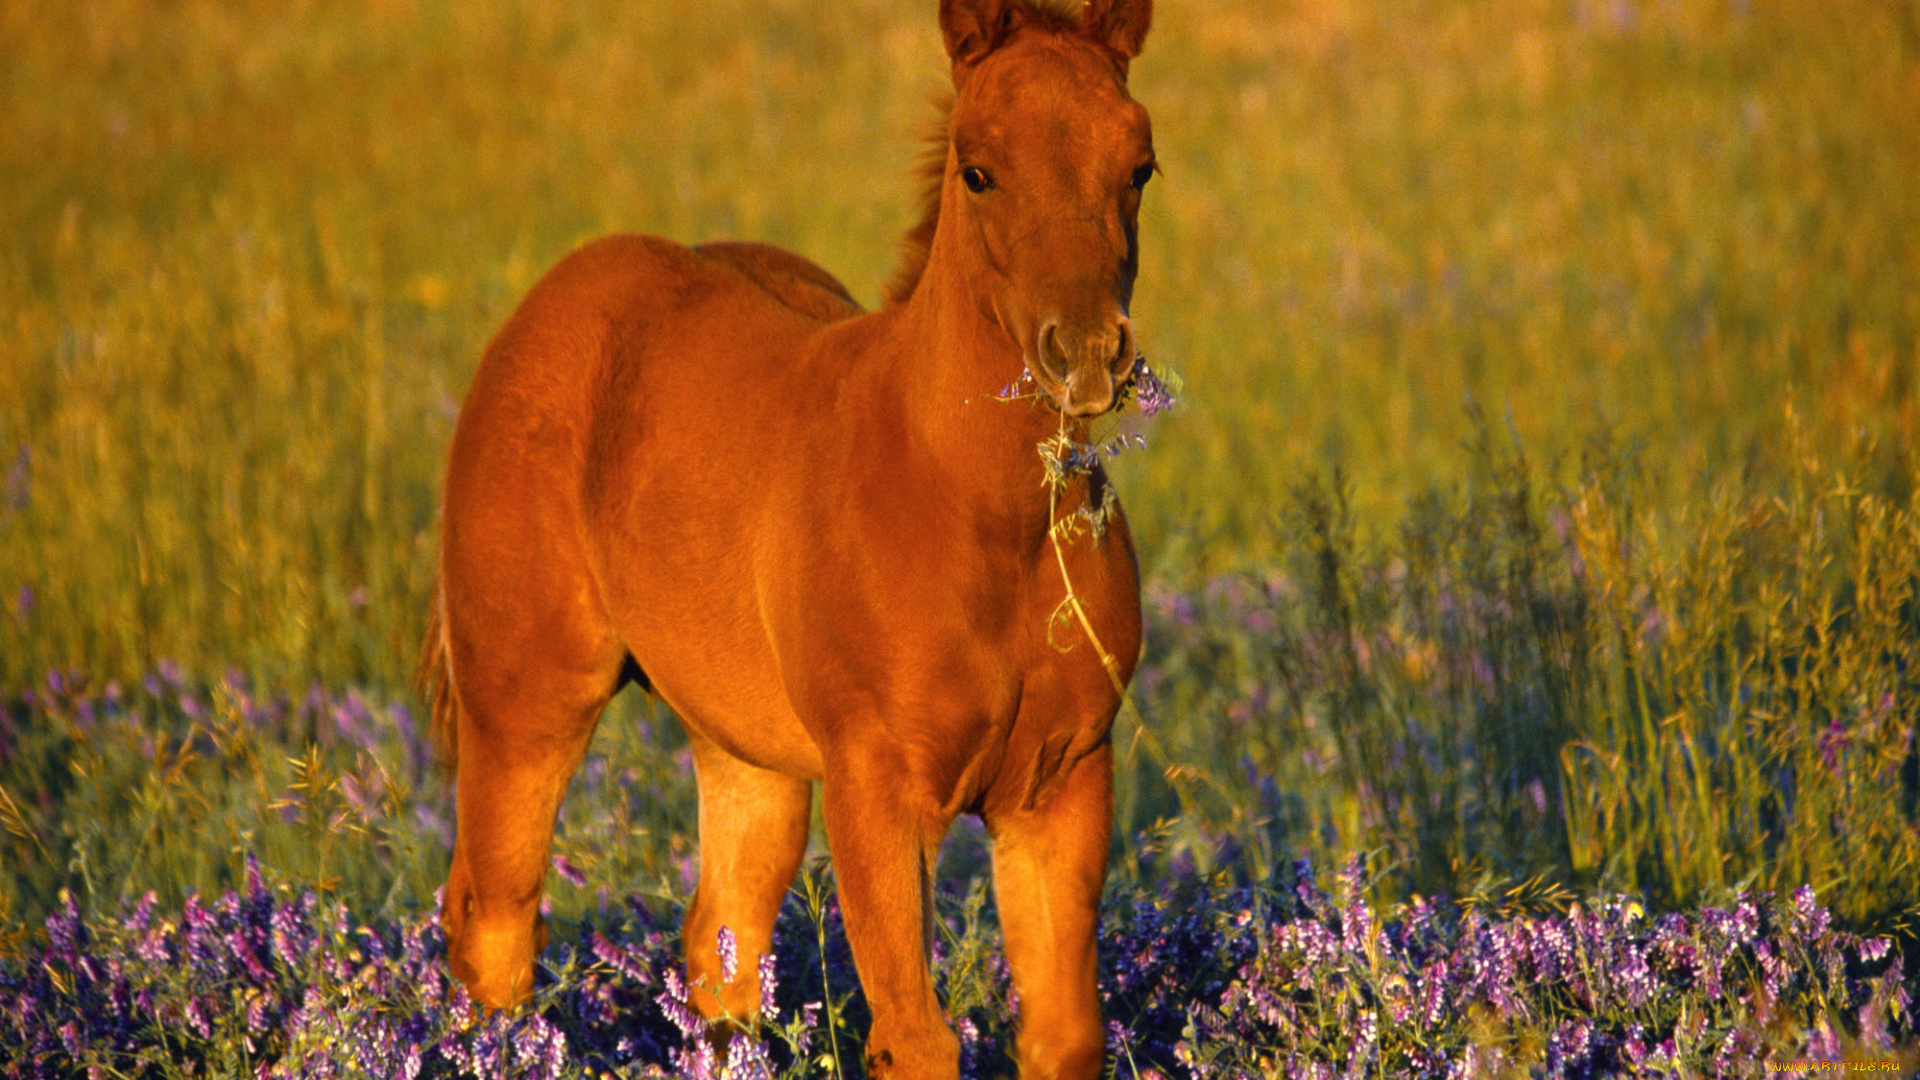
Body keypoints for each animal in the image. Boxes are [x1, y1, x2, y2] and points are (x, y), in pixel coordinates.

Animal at [424, 0, 1152, 1068]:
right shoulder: (878, 790)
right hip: (527, 699)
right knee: (496, 929)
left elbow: (1063, 1039)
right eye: (977, 169)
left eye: (1139, 163)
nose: (1088, 354)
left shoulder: (1061, 785)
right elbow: (916, 1039)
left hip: (745, 752)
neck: (987, 521)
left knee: (719, 954)